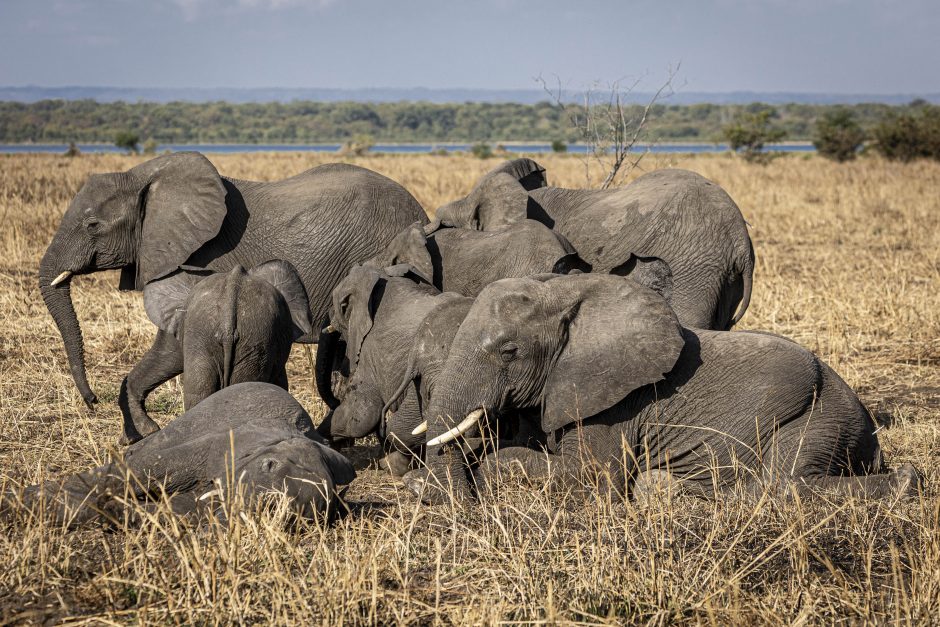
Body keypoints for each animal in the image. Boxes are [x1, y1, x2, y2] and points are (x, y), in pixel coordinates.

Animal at [410, 274, 916, 506]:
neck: (568, 295)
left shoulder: (616, 404)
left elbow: (590, 477)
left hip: (818, 414)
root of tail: (869, 429)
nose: (457, 505)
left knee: (783, 483)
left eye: (509, 351)